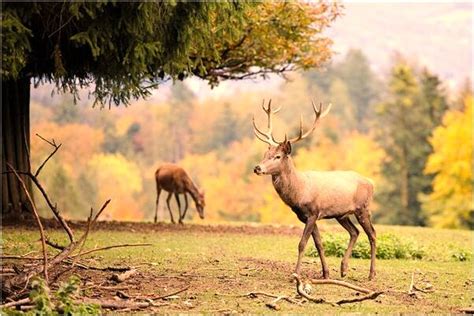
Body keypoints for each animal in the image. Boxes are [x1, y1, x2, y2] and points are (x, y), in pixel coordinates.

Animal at [254, 100, 376, 280]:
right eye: (265, 154)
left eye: (277, 156)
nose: (257, 168)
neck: (300, 192)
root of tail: (371, 183)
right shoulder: (306, 217)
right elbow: (319, 244)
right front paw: (325, 273)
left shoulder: (313, 212)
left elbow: (302, 244)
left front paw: (296, 274)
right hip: (341, 214)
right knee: (355, 232)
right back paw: (343, 269)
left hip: (363, 208)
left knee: (372, 234)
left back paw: (371, 274)